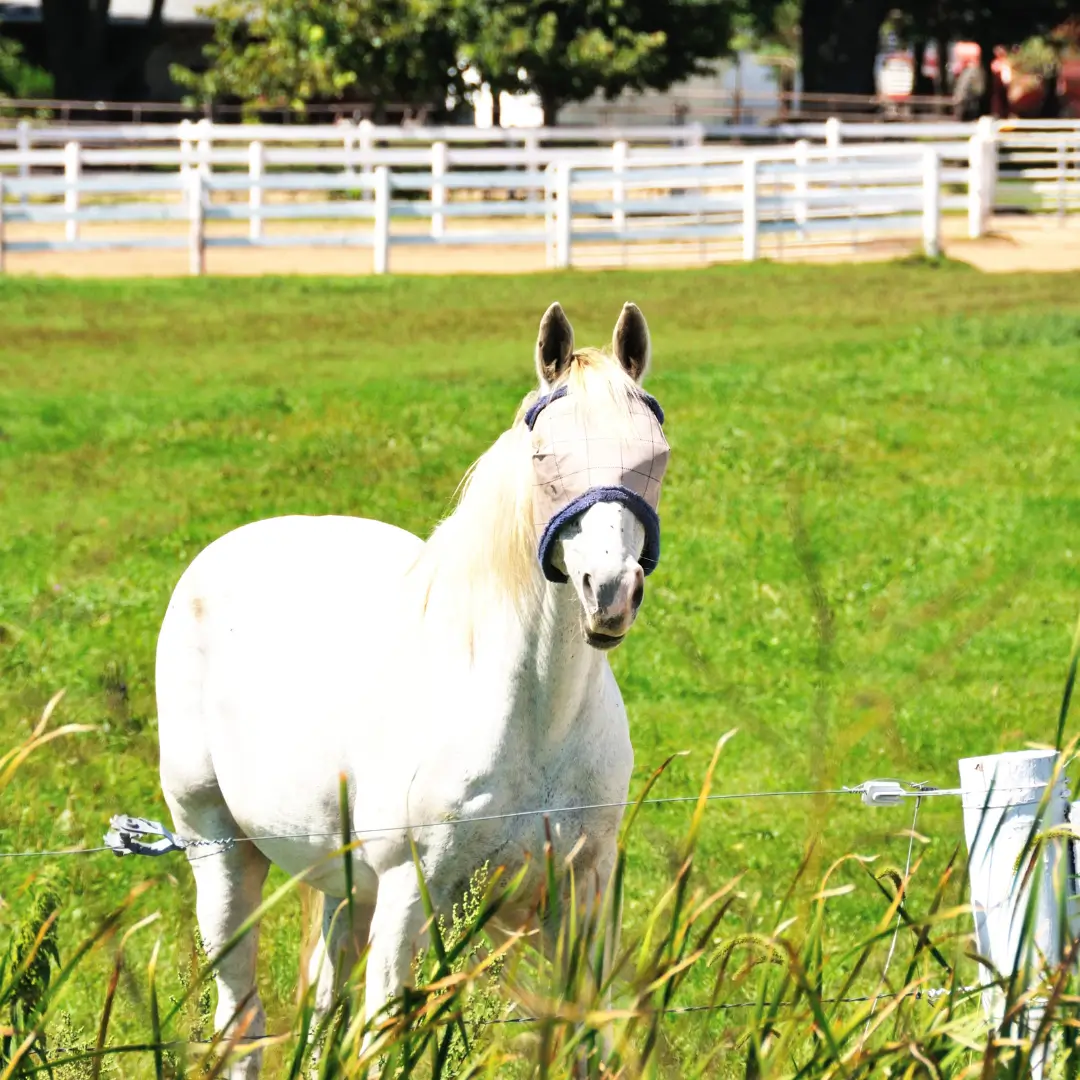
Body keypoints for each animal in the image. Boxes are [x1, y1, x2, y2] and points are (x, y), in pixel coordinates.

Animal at [157, 300, 669, 1075]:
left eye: (655, 456)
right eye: (544, 458)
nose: (609, 591)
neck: (532, 718)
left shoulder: (581, 891)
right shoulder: (409, 896)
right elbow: (381, 1040)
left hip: (344, 890)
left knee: (322, 1011)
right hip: (219, 852)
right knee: (240, 1023)